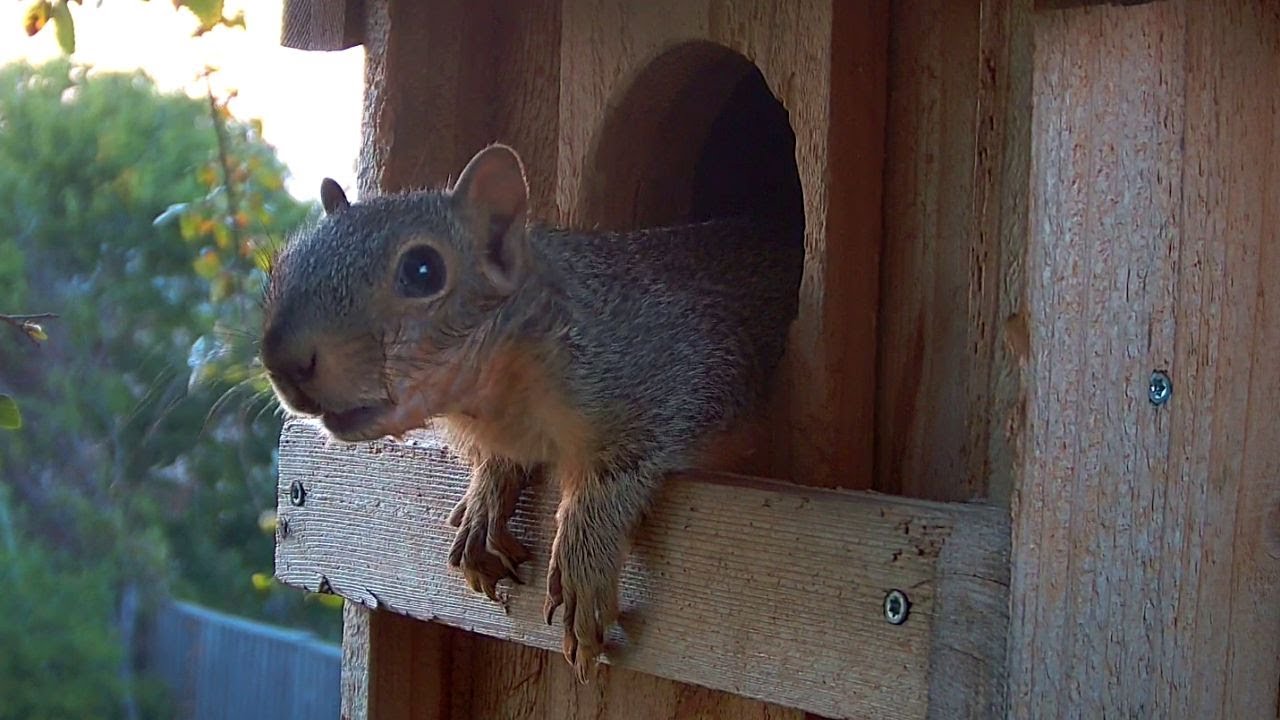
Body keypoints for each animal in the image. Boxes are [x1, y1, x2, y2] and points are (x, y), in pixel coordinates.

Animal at [260, 144, 802, 682]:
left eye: (422, 270)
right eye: (285, 264)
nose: (285, 362)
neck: (500, 400)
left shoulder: (680, 370)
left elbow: (622, 466)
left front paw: (584, 555)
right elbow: (500, 466)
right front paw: (485, 502)